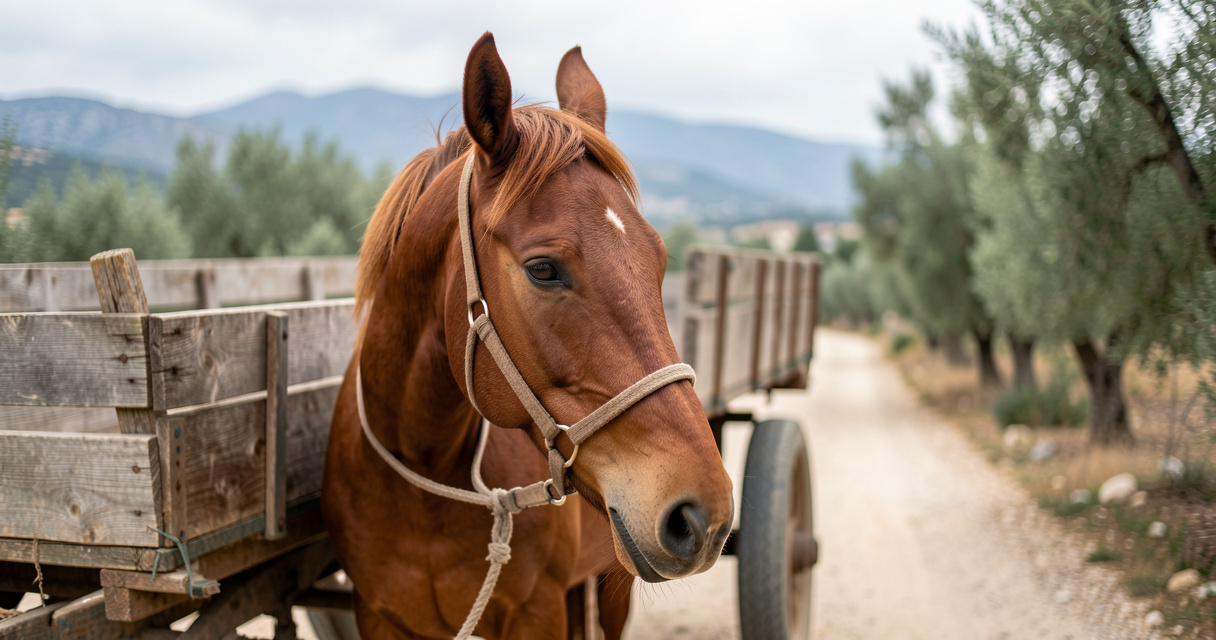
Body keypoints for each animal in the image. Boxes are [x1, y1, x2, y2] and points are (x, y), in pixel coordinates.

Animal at [321, 33, 734, 640]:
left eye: (658, 261)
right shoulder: (377, 615)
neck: (424, 467)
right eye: (543, 269)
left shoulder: (538, 610)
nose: (704, 513)